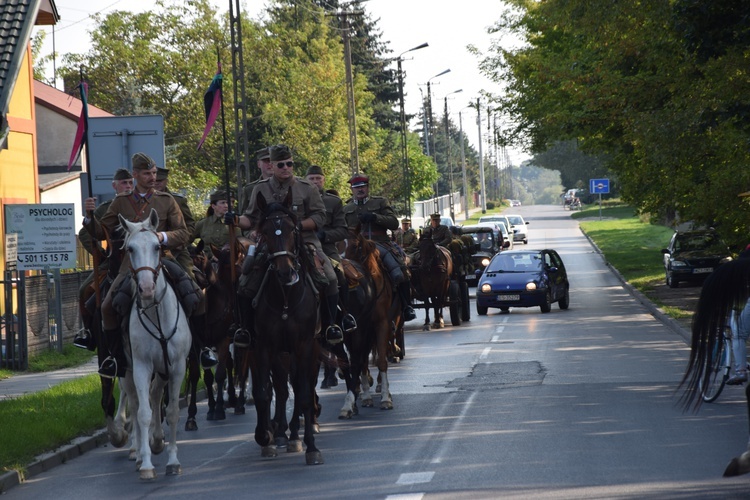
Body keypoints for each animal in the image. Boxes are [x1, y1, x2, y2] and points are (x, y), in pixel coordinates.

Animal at [117, 208, 192, 480]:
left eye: (157, 246)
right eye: (130, 249)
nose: (147, 288)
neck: (156, 312)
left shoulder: (177, 366)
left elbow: (172, 412)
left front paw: (173, 461)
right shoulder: (141, 366)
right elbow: (143, 413)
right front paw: (147, 464)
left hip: (163, 369)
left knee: (156, 394)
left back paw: (157, 441)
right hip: (128, 371)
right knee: (138, 401)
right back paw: (139, 451)